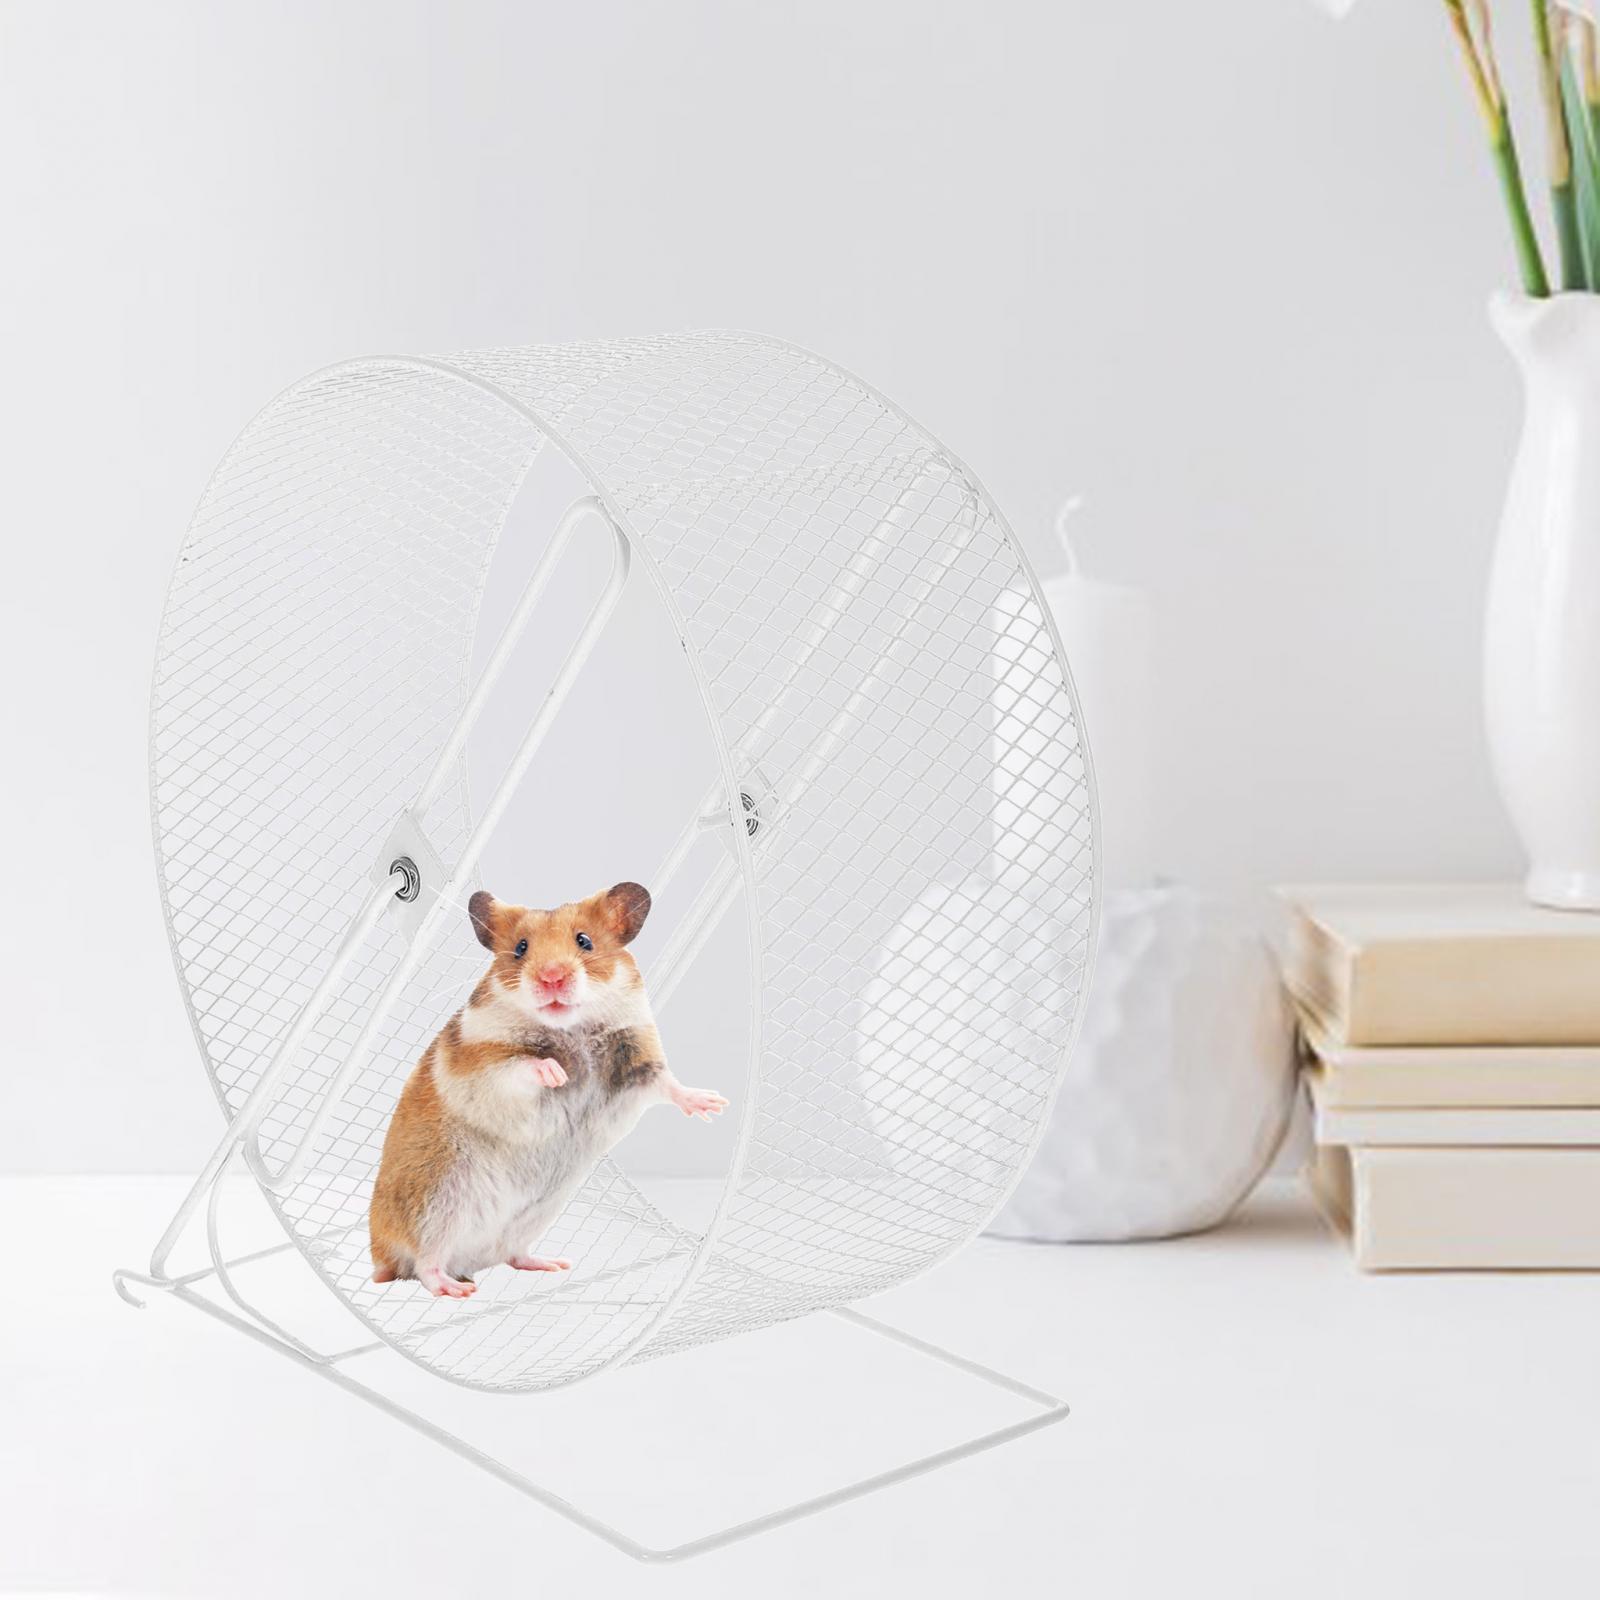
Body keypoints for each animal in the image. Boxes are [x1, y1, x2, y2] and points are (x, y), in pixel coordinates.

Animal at [368, 881, 727, 1298]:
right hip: (436, 1202)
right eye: (521, 947)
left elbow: (667, 1084)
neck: (571, 1027)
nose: (552, 977)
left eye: (584, 941)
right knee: (424, 1263)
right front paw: (557, 1073)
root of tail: (380, 1255)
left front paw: (714, 1104)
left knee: (511, 1255)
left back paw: (552, 1264)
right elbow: (521, 1066)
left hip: (532, 1215)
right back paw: (455, 1289)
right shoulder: (481, 1065)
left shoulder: (637, 1059)